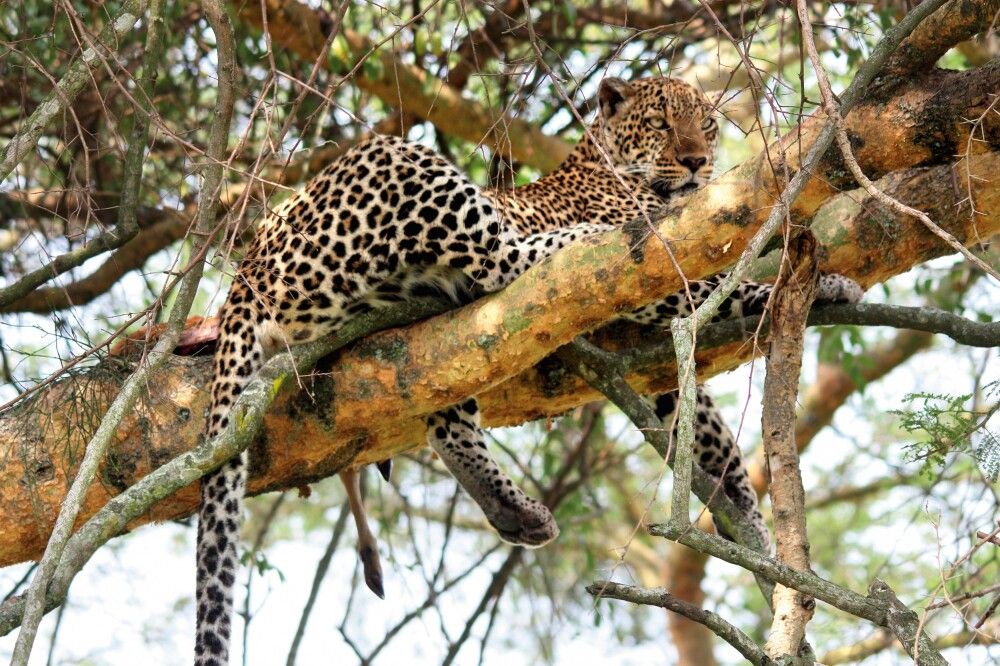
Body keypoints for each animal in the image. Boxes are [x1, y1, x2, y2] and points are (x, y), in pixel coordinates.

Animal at [193, 75, 860, 660]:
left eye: (708, 124)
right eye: (661, 124)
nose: (698, 162)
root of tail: (244, 271)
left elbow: (714, 444)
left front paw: (756, 540)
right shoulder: (665, 279)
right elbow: (724, 287)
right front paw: (825, 283)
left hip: (429, 344)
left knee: (446, 414)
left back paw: (513, 511)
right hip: (399, 165)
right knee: (510, 258)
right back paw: (583, 239)